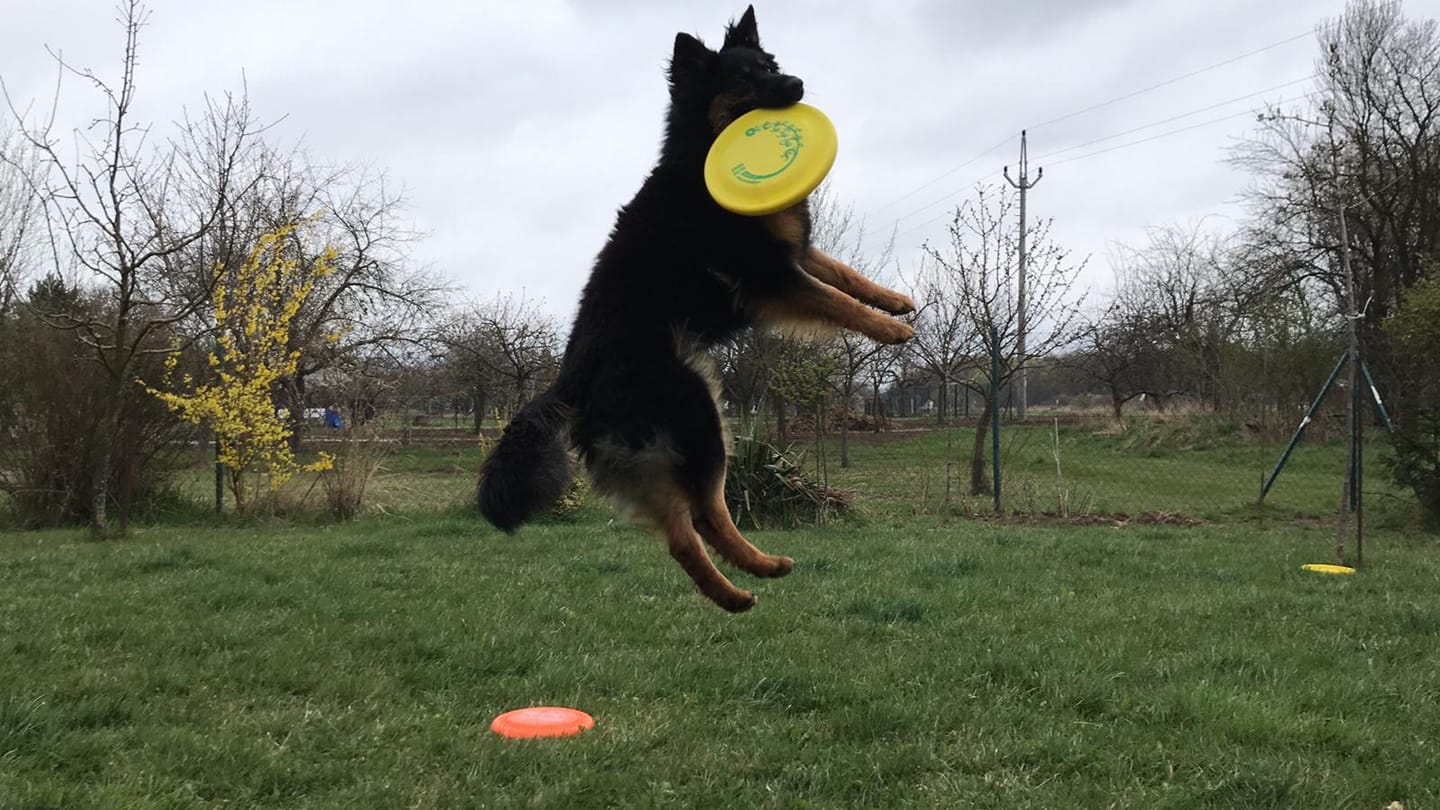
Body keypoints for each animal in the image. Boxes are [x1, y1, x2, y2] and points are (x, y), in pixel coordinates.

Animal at [480, 6, 910, 608]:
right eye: (743, 80)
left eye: (770, 64)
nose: (798, 84)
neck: (700, 150)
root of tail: (570, 381)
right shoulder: (768, 275)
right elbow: (832, 299)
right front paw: (887, 331)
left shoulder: (792, 254)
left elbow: (842, 275)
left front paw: (893, 301)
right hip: (696, 412)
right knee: (701, 513)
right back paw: (750, 574)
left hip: (674, 430)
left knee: (684, 530)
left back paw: (741, 583)